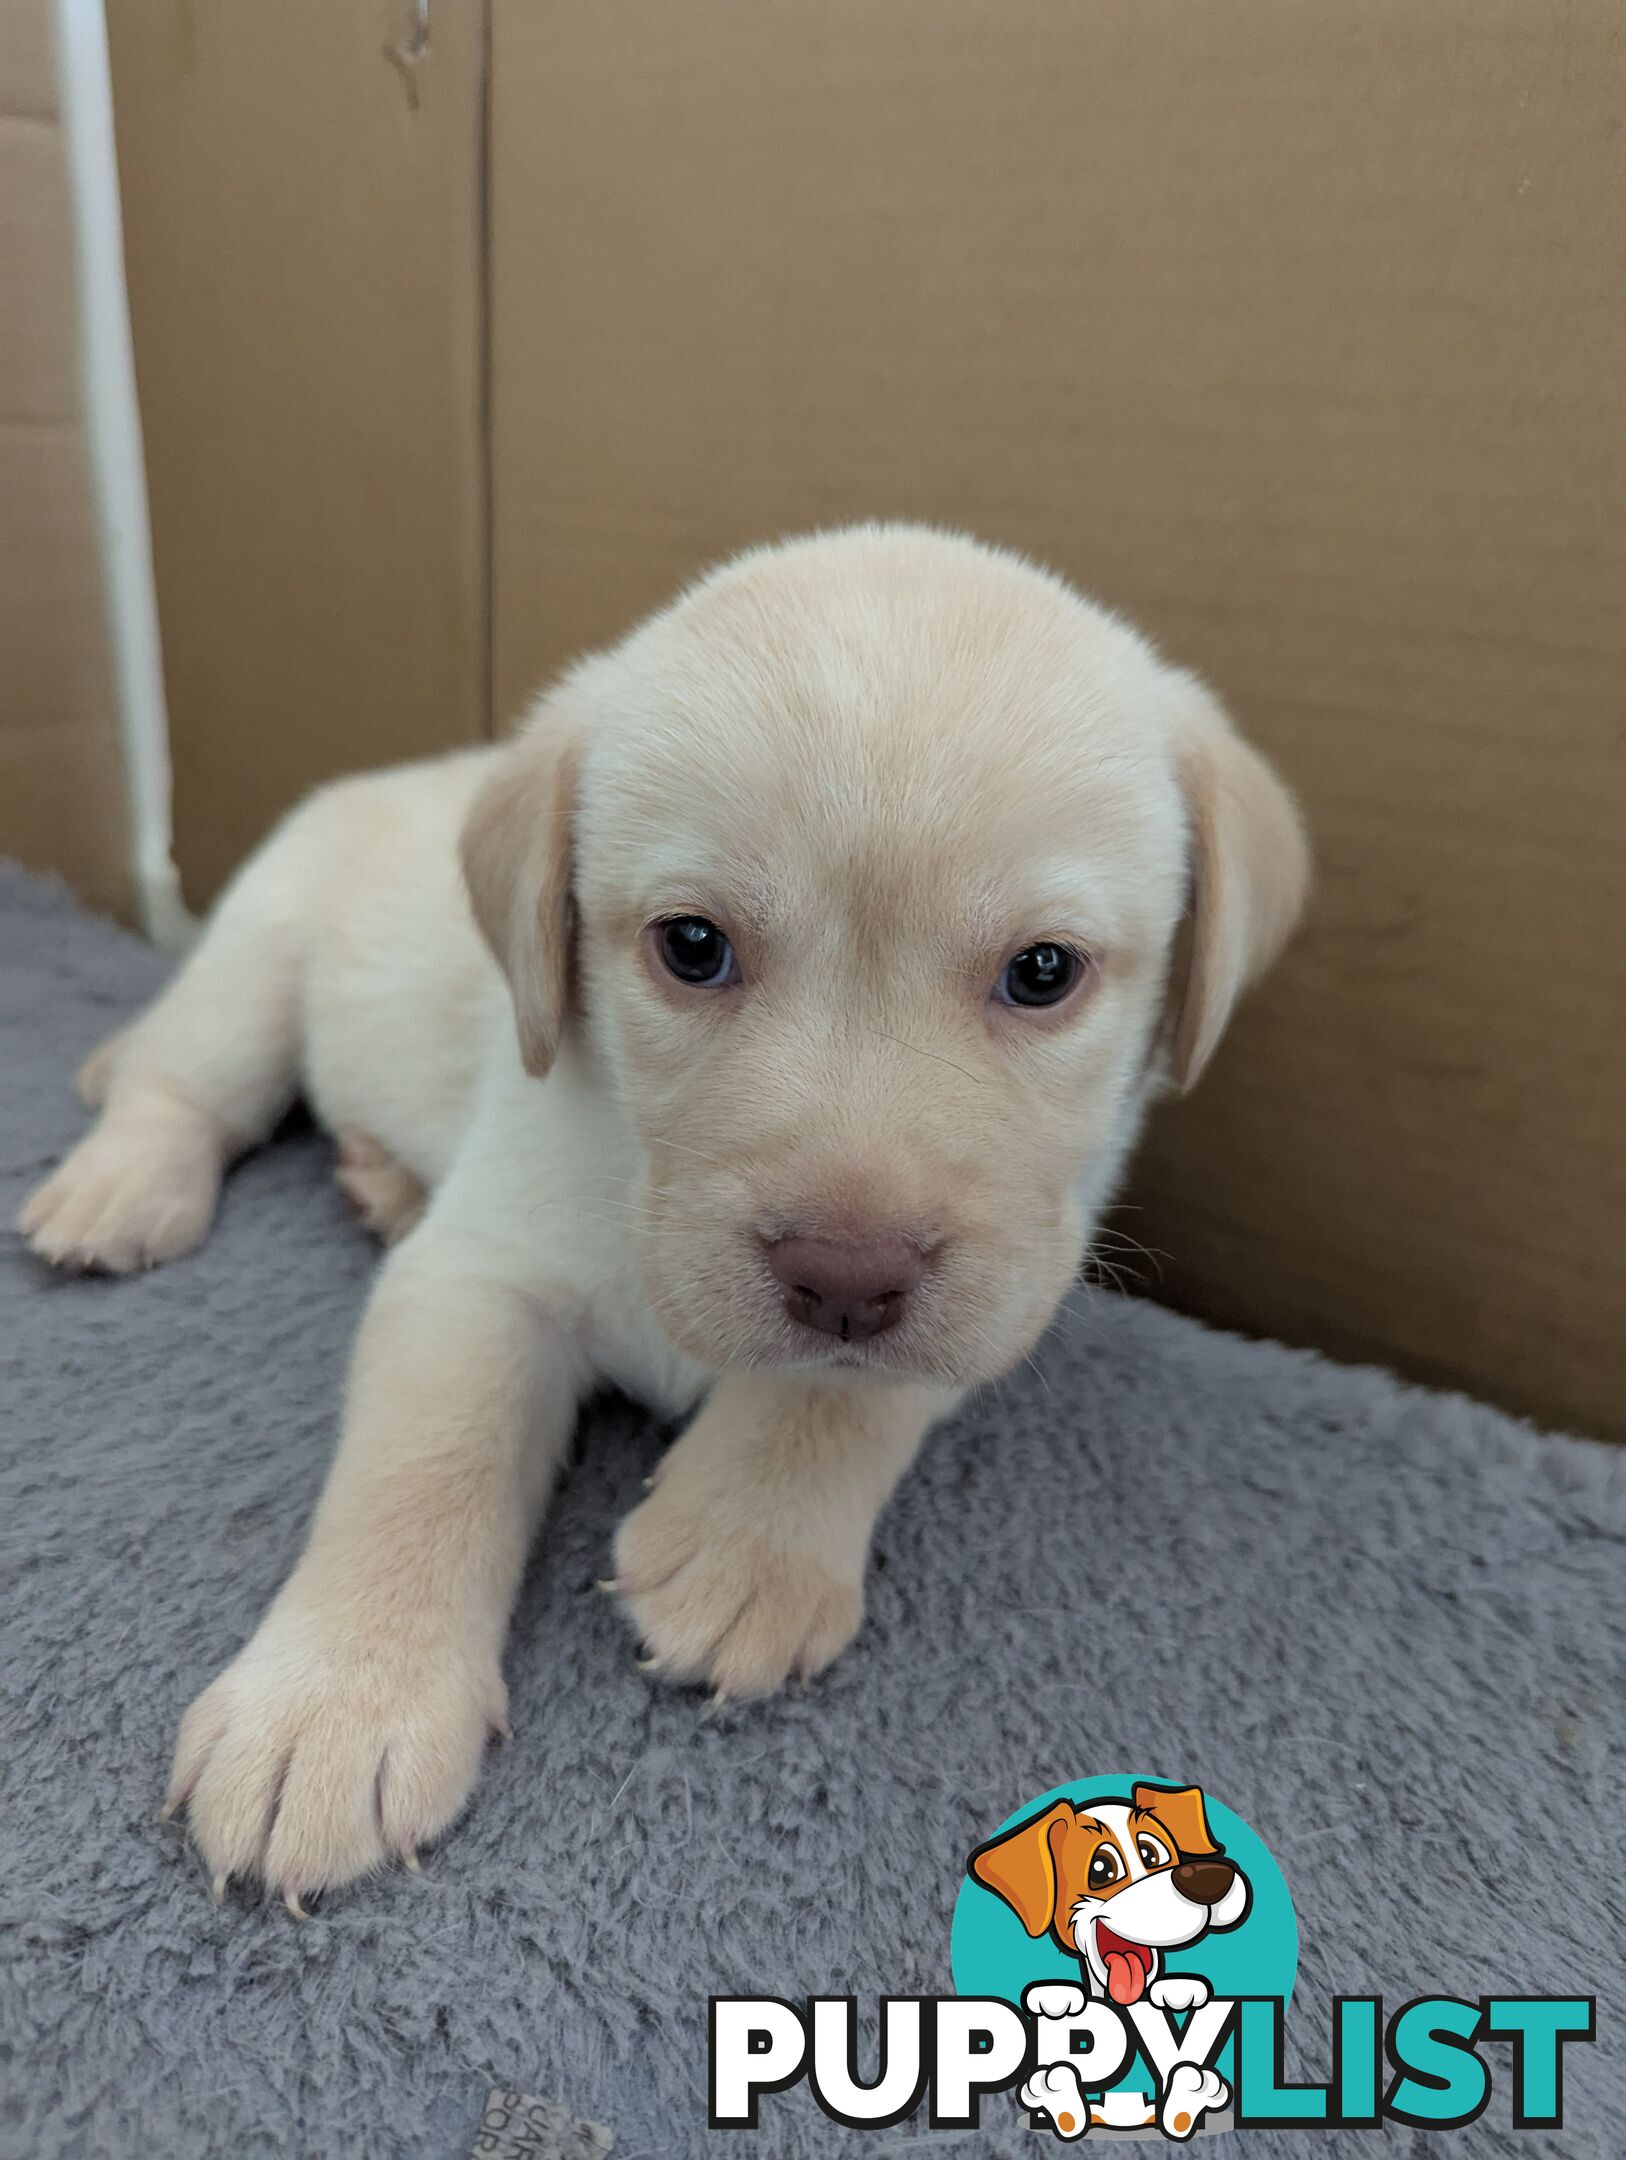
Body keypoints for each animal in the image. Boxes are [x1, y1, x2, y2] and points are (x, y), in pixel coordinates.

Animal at [15, 522, 1304, 1909]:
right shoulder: (480, 1274)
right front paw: (336, 1708)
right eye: (692, 946)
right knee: (177, 1082)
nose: (844, 1276)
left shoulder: (1022, 1269)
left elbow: (854, 1389)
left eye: (1045, 971)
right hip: (256, 962)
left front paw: (746, 1542)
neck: (636, 1166)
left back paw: (381, 1180)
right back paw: (119, 1185)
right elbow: (423, 1468)